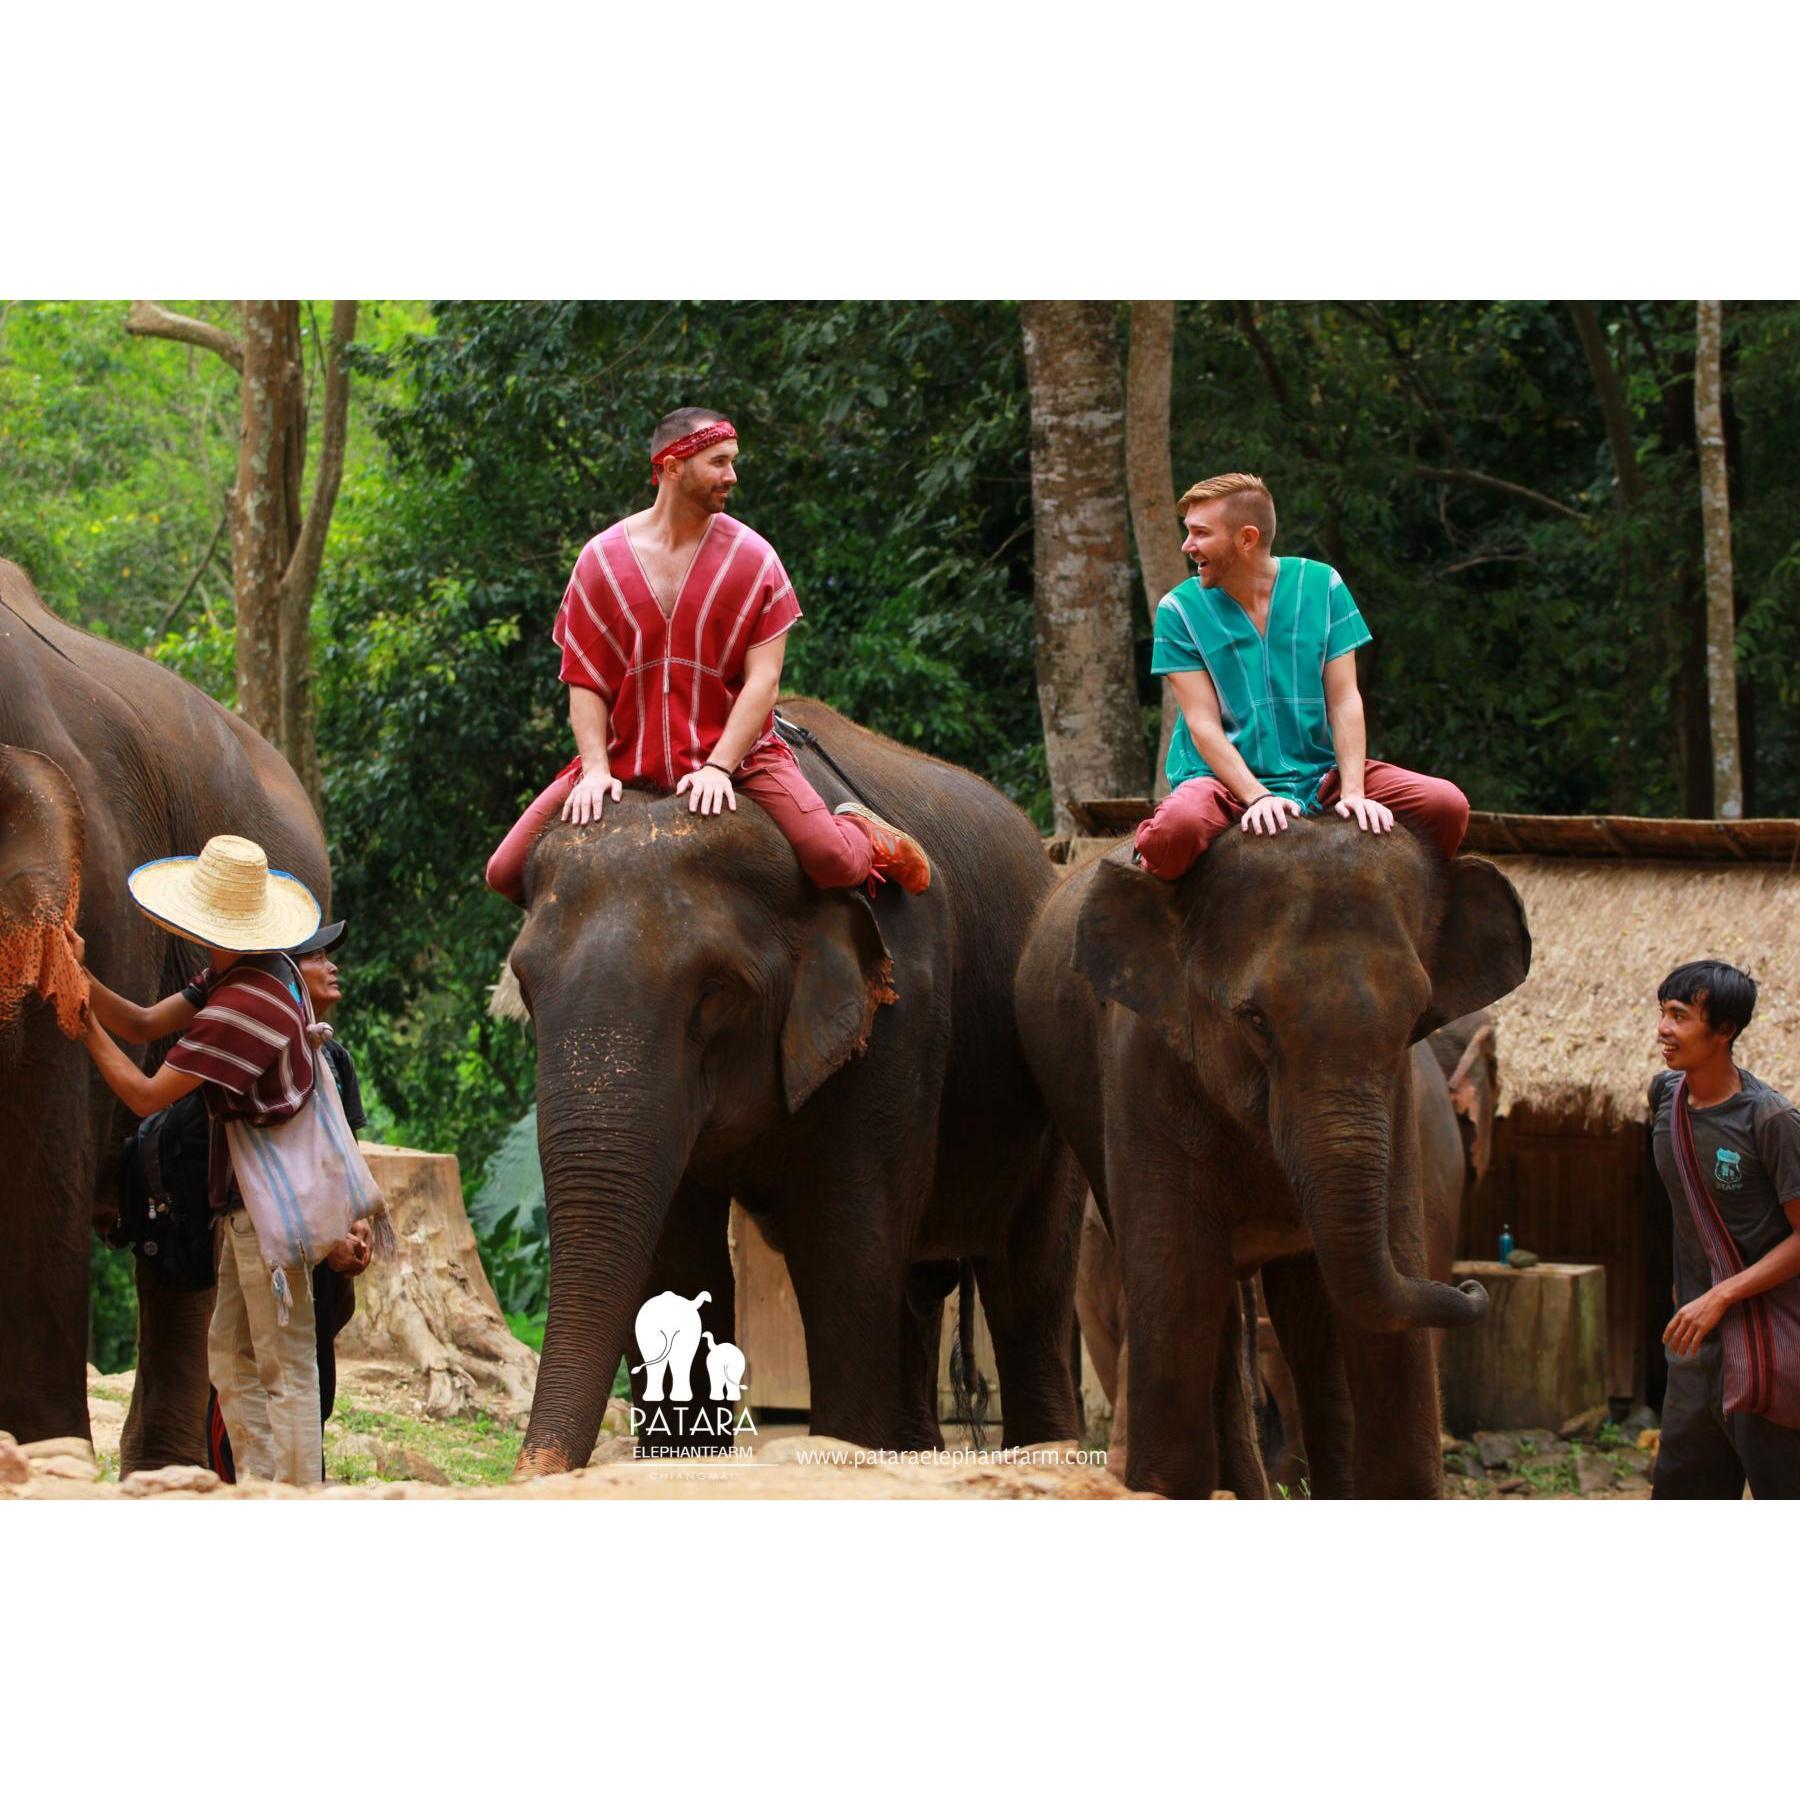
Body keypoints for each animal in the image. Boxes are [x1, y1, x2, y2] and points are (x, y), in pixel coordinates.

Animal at [504, 697, 1084, 1475]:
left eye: (714, 993)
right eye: (525, 988)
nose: (531, 1474)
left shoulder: (898, 1018)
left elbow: (844, 1251)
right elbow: (674, 1252)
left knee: (1029, 1280)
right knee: (922, 1284)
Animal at [1017, 817, 1530, 1499]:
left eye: (1415, 1019)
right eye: (1254, 1019)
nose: (1473, 1286)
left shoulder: (1402, 1102)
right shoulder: (1142, 1067)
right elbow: (1175, 1285)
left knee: (1309, 1324)